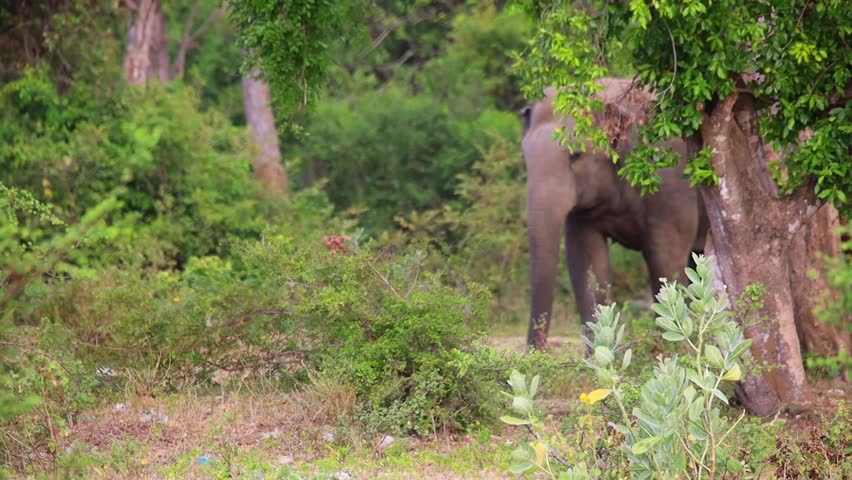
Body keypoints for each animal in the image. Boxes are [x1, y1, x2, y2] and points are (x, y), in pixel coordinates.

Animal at [521, 78, 709, 350]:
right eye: (525, 156)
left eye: (576, 155)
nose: (536, 355)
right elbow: (586, 264)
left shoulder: (670, 183)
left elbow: (666, 259)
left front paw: (674, 351)